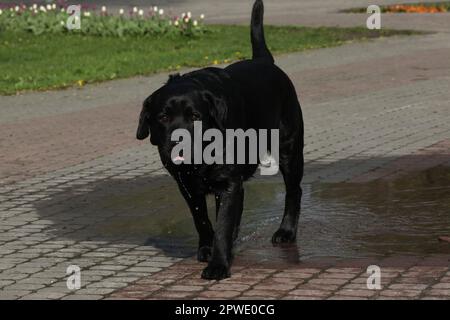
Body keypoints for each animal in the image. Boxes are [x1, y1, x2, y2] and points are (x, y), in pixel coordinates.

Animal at [137, 0, 304, 280]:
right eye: (163, 116)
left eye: (194, 116)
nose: (178, 141)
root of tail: (263, 60)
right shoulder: (187, 185)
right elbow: (202, 219)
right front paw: (207, 248)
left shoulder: (228, 183)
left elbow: (224, 222)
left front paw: (218, 264)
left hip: (289, 148)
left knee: (294, 190)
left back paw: (286, 231)